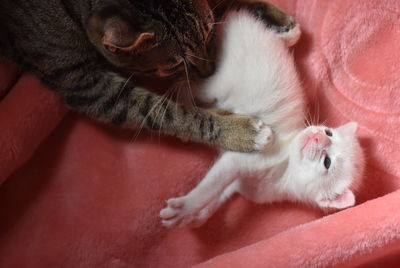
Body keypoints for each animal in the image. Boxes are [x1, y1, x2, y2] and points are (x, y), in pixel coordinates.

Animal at [0, 0, 296, 152]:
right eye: (175, 66)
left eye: (211, 33)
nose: (210, 71)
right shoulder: (84, 84)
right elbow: (165, 112)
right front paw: (237, 131)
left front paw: (272, 17)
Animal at [160, 11, 366, 227]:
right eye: (329, 132)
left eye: (327, 162)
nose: (318, 135)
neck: (283, 173)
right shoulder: (242, 158)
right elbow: (211, 185)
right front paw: (185, 209)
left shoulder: (241, 184)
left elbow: (220, 193)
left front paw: (196, 216)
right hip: (217, 83)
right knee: (192, 85)